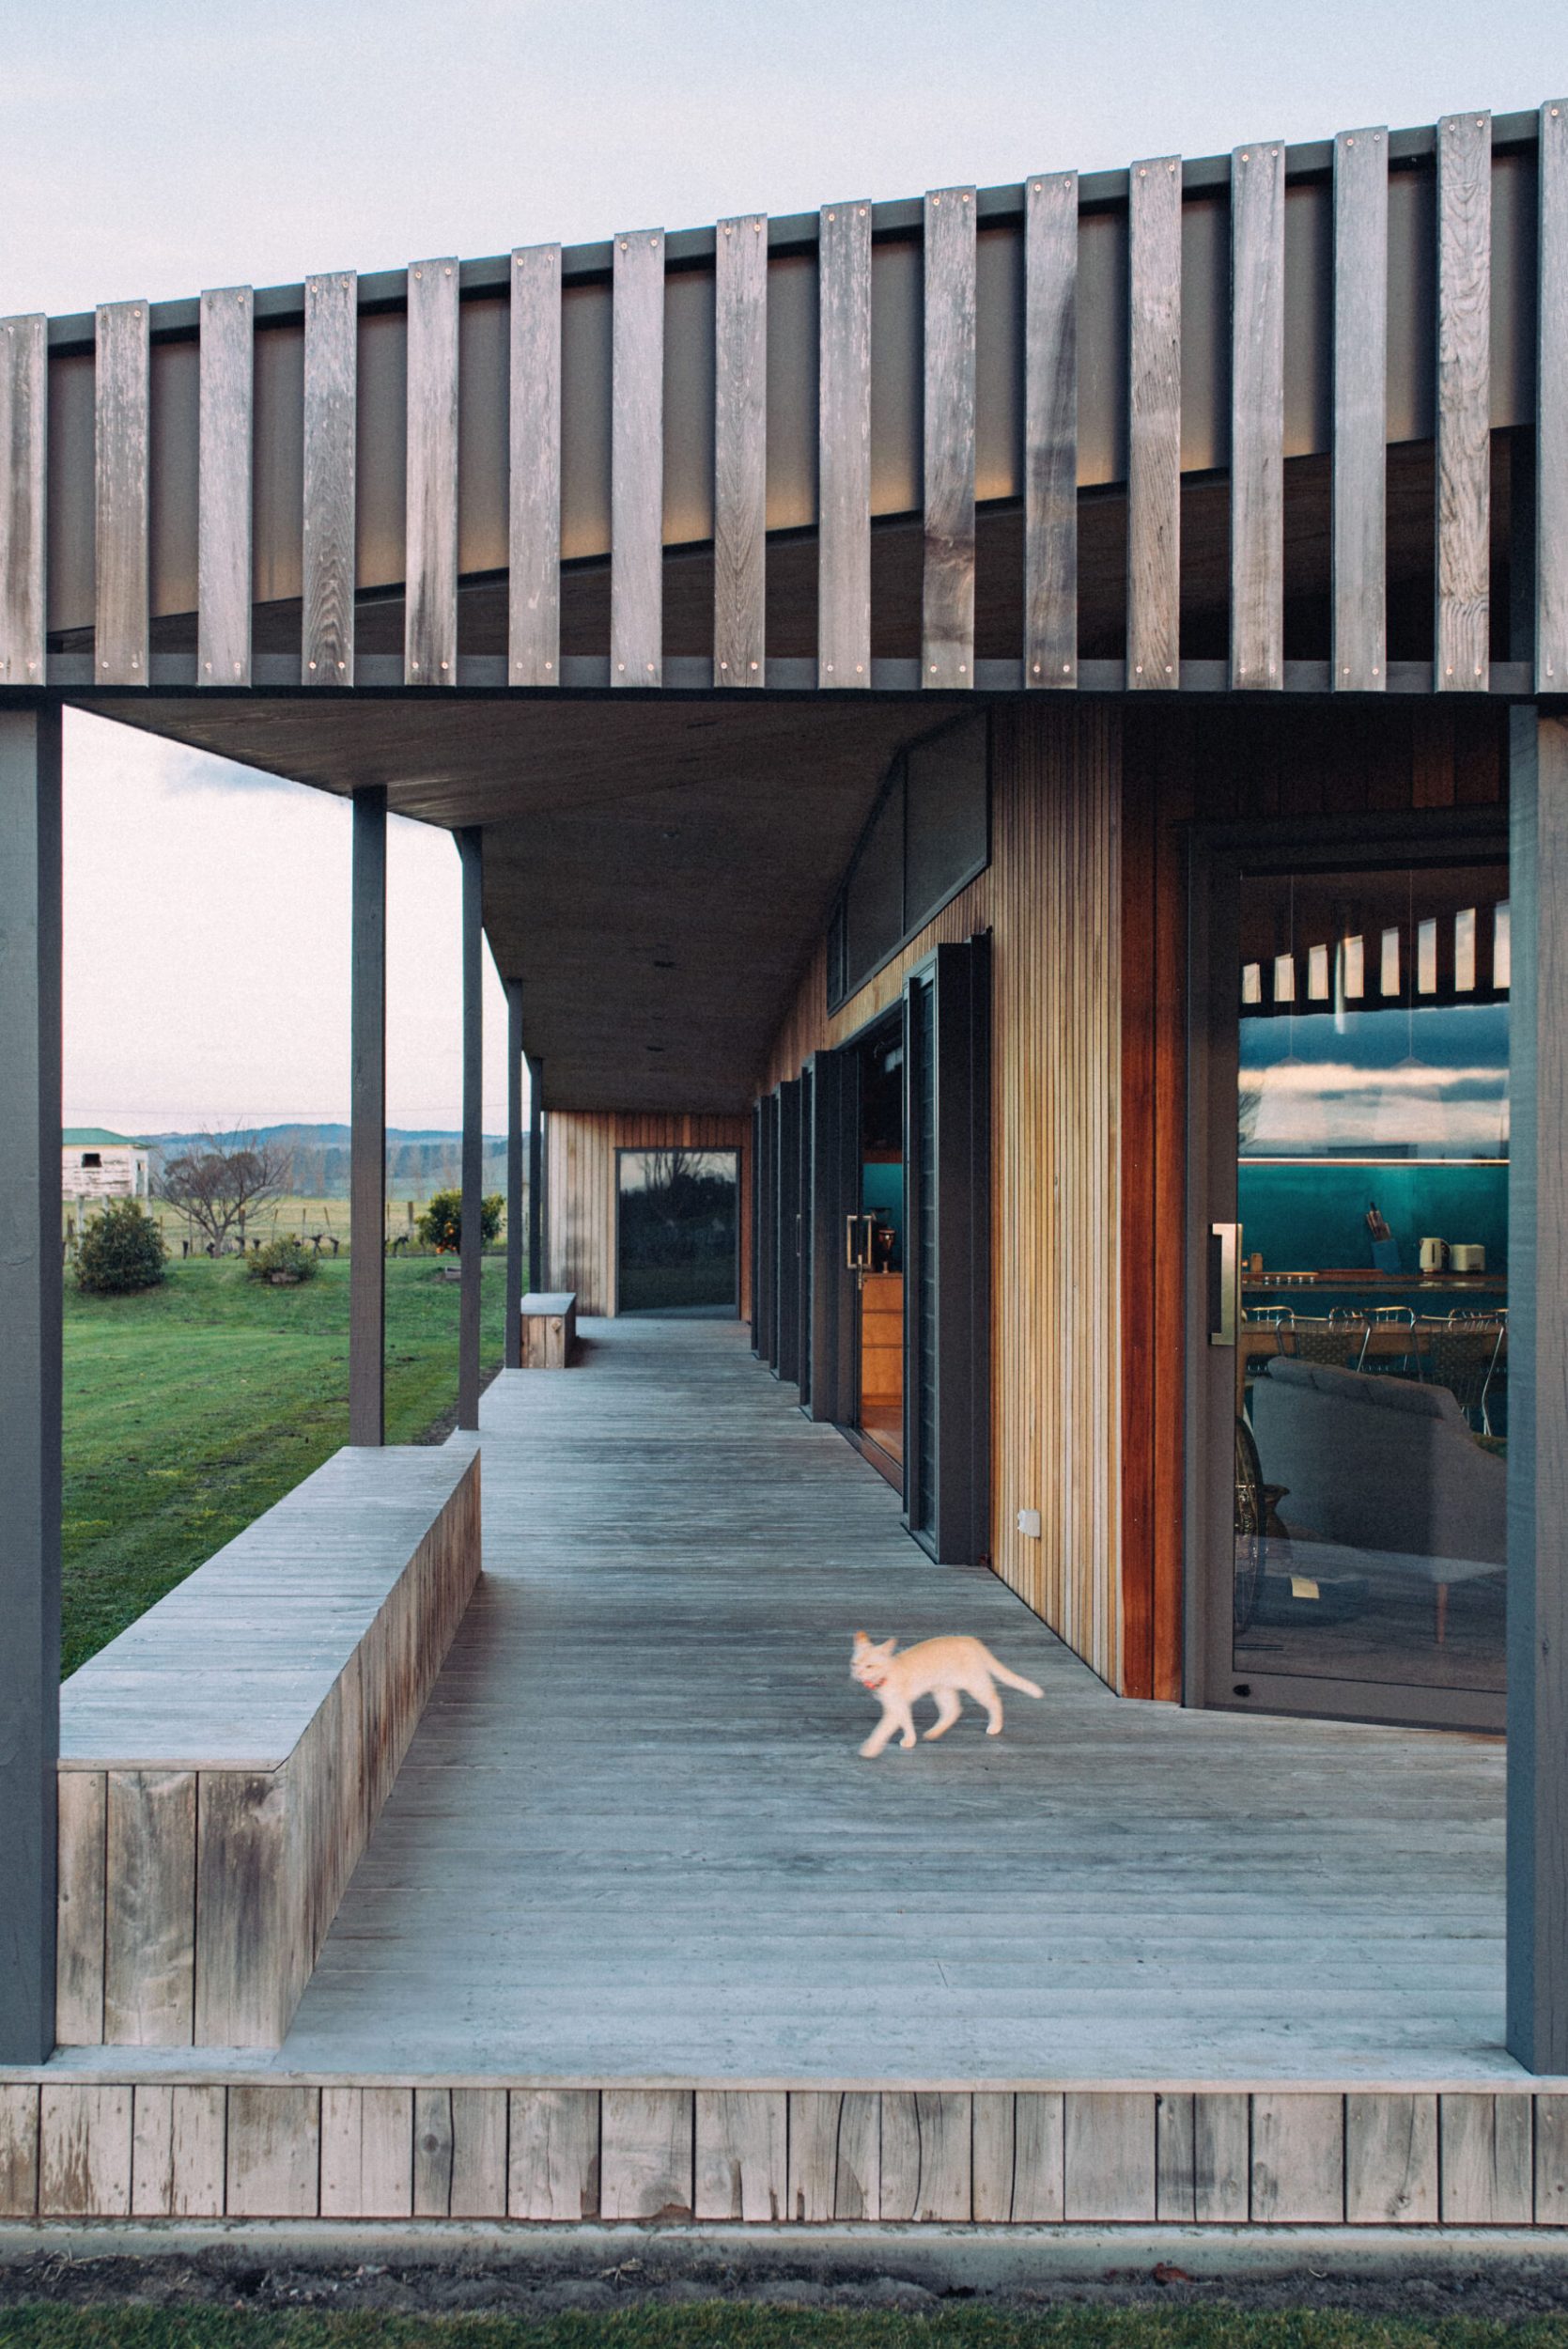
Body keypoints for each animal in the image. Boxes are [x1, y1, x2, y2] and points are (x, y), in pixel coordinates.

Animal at [845, 1635, 1042, 1766]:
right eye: (854, 1664)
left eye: (869, 1666)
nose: (857, 1674)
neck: (888, 1673)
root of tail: (971, 1639)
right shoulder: (901, 1706)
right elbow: (906, 1723)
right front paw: (910, 1740)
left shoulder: (895, 1707)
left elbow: (881, 1730)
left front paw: (869, 1749)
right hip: (942, 1690)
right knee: (953, 1710)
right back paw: (933, 1733)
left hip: (974, 1684)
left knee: (994, 1700)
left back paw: (995, 1726)